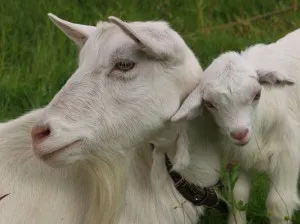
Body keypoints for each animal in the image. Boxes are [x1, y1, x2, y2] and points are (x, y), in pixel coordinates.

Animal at [170, 27, 300, 223]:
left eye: (257, 94)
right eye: (209, 104)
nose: (240, 134)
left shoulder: (288, 155)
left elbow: (278, 205)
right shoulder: (235, 158)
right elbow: (238, 198)